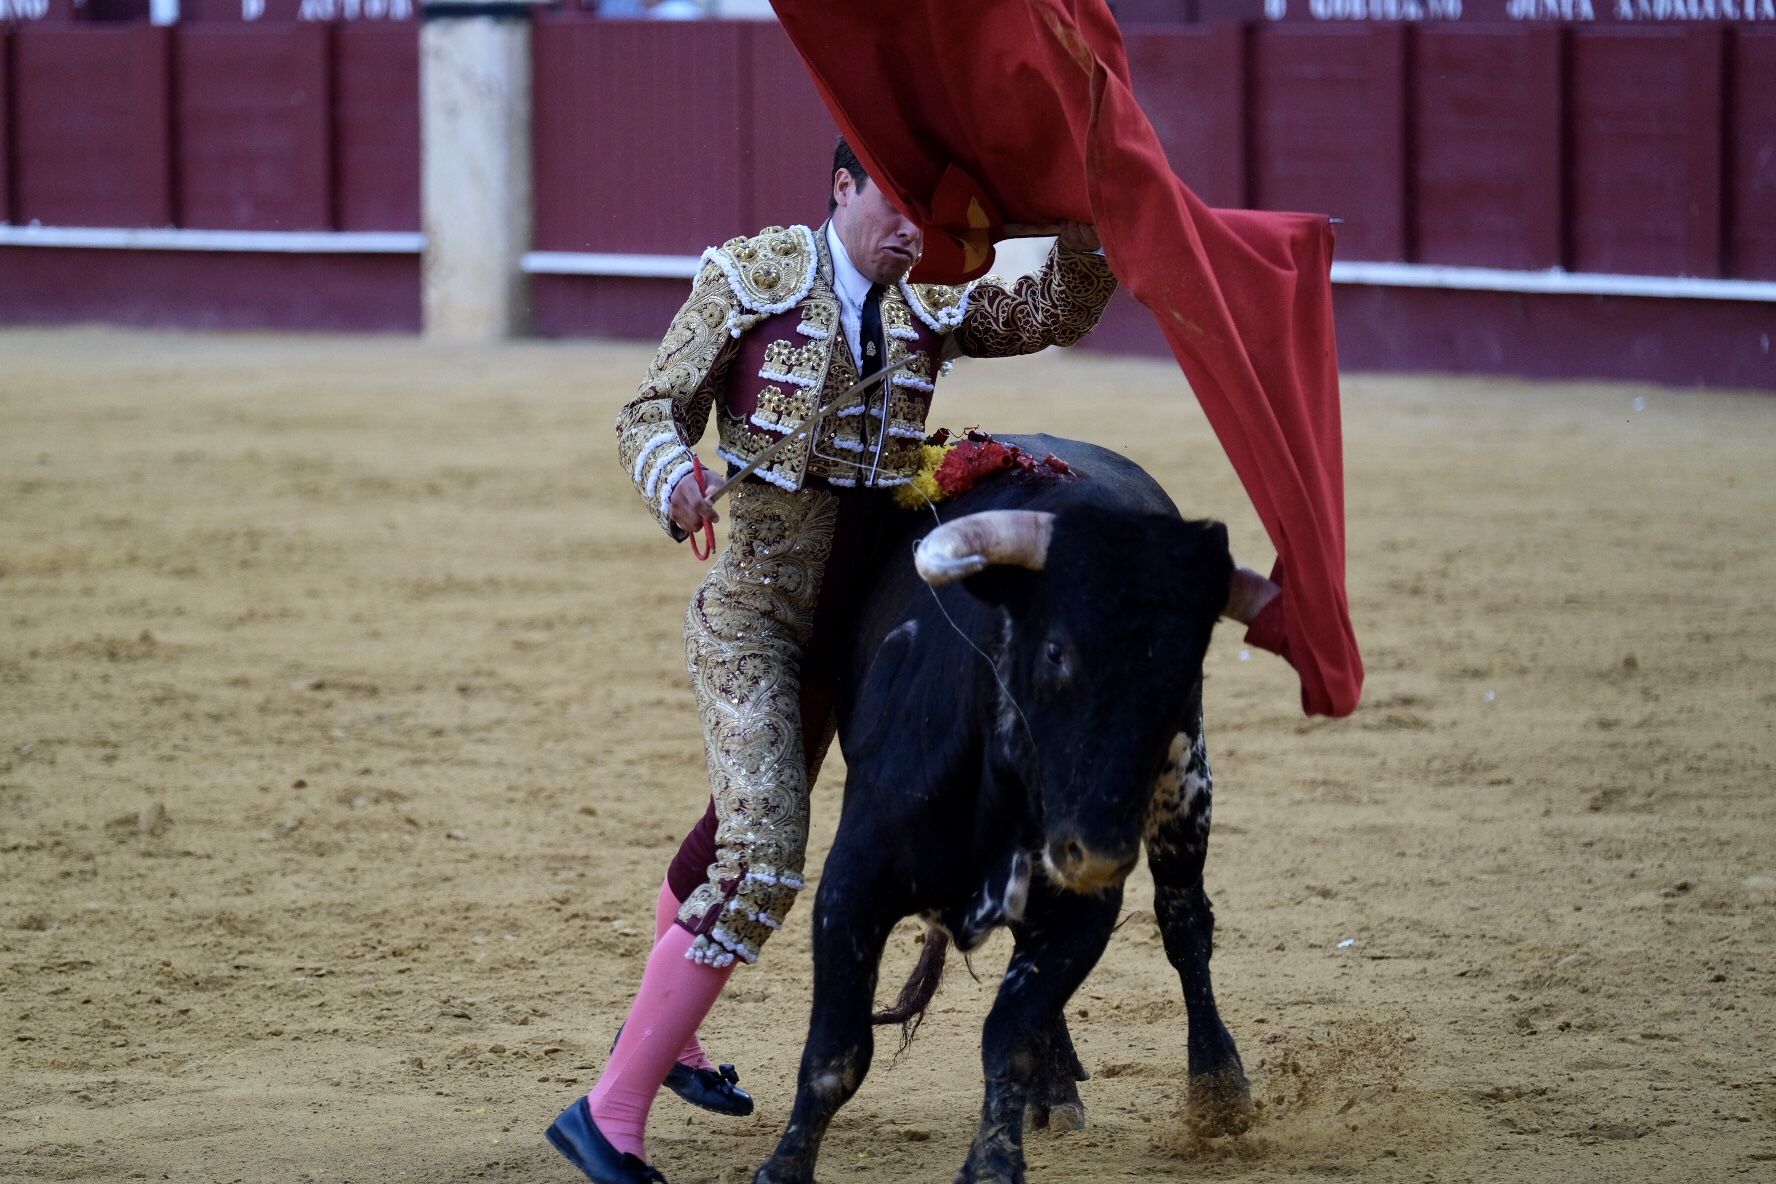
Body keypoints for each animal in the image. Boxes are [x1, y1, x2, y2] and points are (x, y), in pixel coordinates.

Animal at [756, 434, 1257, 1184]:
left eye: (1179, 674)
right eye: (1055, 650)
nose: (1097, 851)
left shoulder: (1083, 909)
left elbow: (1008, 1037)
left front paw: (994, 1162)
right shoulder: (852, 885)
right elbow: (836, 1052)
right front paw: (783, 1168)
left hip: (1184, 787)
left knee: (1183, 920)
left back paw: (1216, 1087)